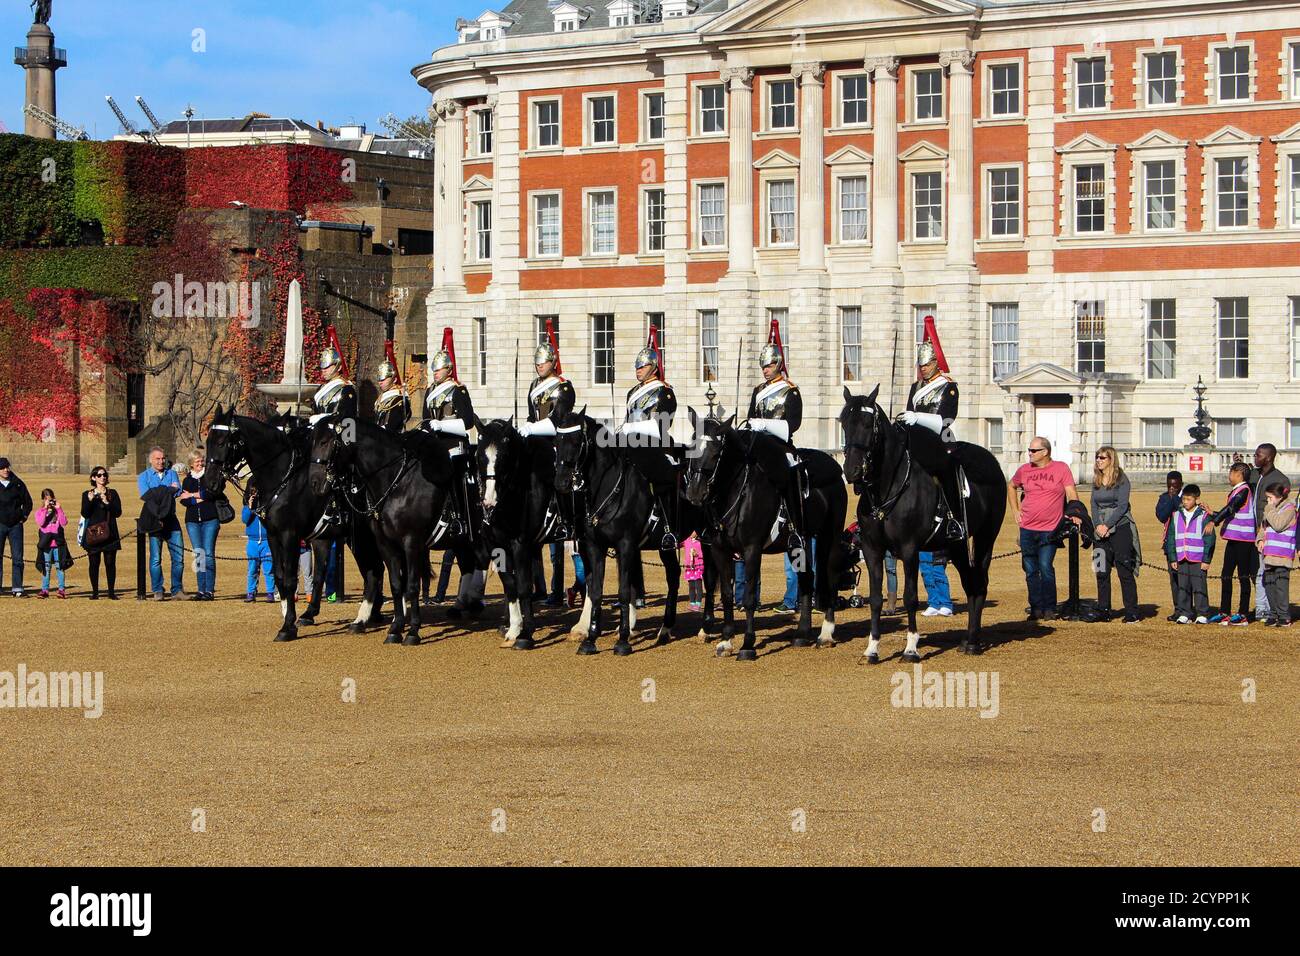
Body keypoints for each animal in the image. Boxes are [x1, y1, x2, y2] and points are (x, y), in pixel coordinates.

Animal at [202, 405, 386, 642]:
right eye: (208, 441)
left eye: (223, 442)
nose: (209, 483)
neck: (283, 479)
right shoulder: (274, 536)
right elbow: (282, 576)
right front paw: (290, 614)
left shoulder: (290, 535)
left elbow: (291, 578)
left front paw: (287, 626)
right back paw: (371, 614)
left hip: (362, 537)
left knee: (374, 571)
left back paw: (363, 619)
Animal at [309, 417, 478, 646]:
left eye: (325, 441)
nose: (314, 483)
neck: (396, 483)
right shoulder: (386, 544)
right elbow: (397, 584)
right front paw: (396, 628)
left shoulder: (412, 542)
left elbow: (412, 585)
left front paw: (413, 631)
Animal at [551, 408, 715, 656]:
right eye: (556, 441)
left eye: (577, 440)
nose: (561, 482)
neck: (609, 489)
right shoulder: (595, 547)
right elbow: (596, 590)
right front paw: (590, 639)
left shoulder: (626, 545)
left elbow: (623, 591)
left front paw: (622, 640)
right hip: (666, 545)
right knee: (673, 575)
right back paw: (665, 629)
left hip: (706, 536)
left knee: (709, 576)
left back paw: (705, 630)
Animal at [682, 409, 847, 661]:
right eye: (691, 445)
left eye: (717, 451)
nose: (695, 493)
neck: (735, 491)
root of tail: (834, 468)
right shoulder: (720, 549)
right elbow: (727, 594)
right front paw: (726, 640)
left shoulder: (752, 549)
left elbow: (749, 597)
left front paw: (747, 645)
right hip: (800, 542)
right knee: (806, 578)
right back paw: (802, 633)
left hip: (831, 536)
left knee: (830, 575)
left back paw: (826, 634)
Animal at [840, 385, 1007, 661]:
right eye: (843, 422)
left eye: (866, 423)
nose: (851, 471)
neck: (888, 487)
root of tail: (992, 460)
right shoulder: (872, 549)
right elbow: (875, 598)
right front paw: (872, 648)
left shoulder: (909, 550)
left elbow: (910, 597)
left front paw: (911, 648)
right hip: (957, 546)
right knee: (971, 584)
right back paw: (968, 640)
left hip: (985, 537)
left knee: (981, 583)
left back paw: (973, 642)